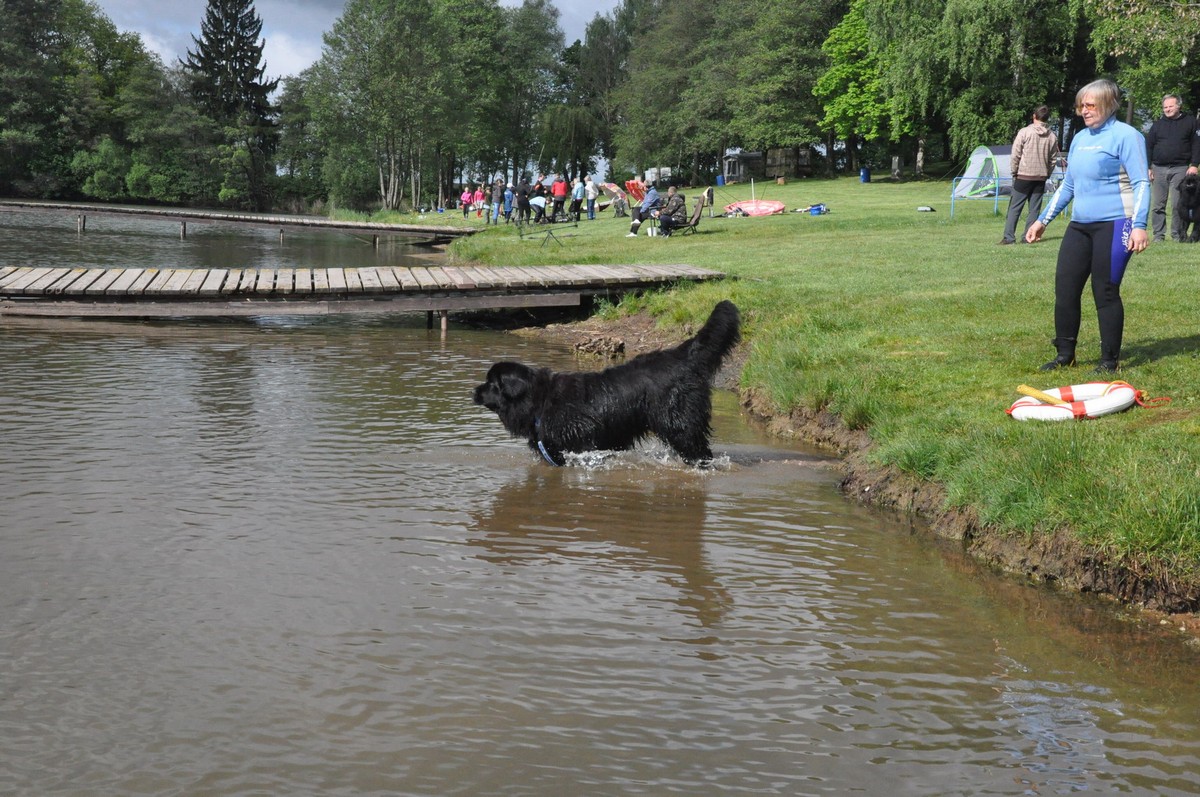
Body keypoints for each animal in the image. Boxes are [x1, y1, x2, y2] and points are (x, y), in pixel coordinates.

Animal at [473, 300, 740, 466]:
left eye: (491, 384)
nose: (474, 391)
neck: (540, 402)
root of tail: (681, 355)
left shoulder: (583, 441)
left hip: (679, 422)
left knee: (697, 448)